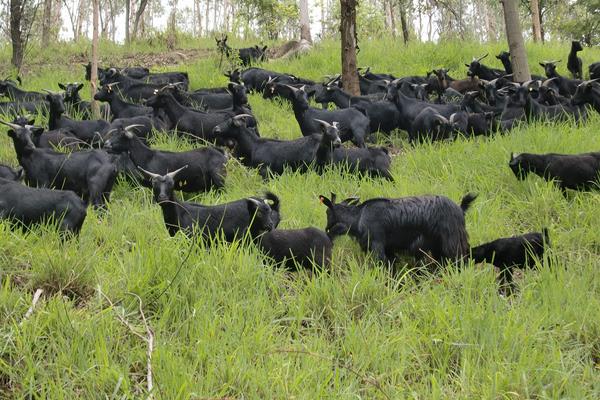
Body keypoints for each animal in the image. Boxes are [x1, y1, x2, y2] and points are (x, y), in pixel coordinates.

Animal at [318, 191, 478, 264]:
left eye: (327, 212)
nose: (325, 230)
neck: (359, 216)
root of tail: (460, 209)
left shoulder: (378, 246)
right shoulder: (389, 250)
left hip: (453, 244)